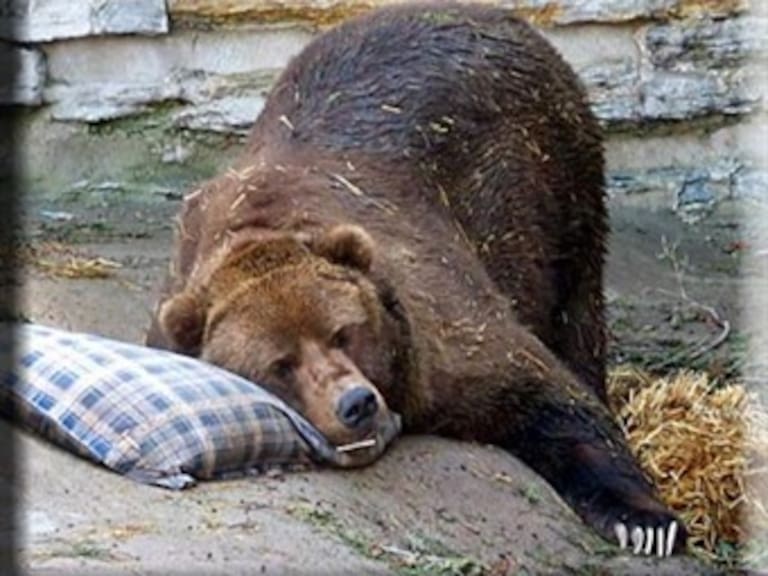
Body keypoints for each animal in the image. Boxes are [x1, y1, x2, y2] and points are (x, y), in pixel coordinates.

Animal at [146, 2, 686, 556]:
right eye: (280, 363)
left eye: (344, 332)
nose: (355, 403)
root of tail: (492, 16)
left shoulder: (438, 329)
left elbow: (549, 391)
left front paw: (644, 520)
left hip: (555, 170)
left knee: (576, 306)